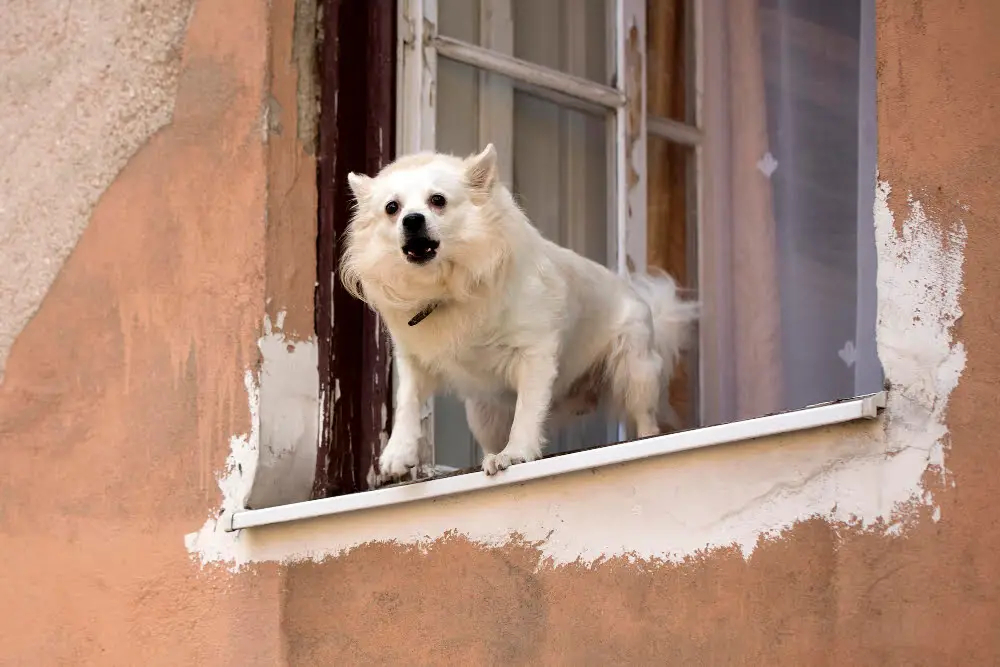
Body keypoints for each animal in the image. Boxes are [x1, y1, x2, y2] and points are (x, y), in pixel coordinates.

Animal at [342, 146, 696, 480]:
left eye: (437, 201)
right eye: (392, 208)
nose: (412, 219)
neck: (447, 289)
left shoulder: (535, 354)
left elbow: (527, 410)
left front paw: (515, 453)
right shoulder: (414, 360)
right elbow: (407, 402)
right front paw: (398, 453)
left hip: (634, 371)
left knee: (646, 419)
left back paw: (645, 439)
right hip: (482, 413)